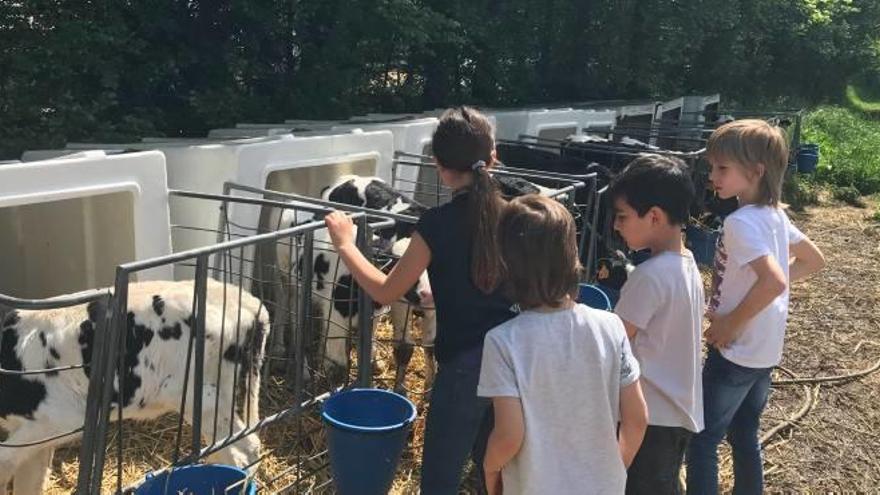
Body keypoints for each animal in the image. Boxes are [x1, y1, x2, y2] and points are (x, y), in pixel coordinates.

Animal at [0, 280, 268, 494]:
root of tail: (246, 300)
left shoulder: (57, 421)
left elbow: (5, 461)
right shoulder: (35, 437)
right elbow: (28, 482)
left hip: (203, 399)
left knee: (242, 450)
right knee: (237, 446)